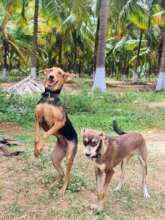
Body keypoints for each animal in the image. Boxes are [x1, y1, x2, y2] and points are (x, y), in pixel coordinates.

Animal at [34, 67, 78, 196]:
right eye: (51, 70)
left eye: (60, 73)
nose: (51, 76)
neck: (49, 96)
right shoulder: (37, 119)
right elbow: (36, 138)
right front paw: (36, 150)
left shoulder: (59, 122)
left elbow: (45, 134)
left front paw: (40, 147)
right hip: (55, 157)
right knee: (62, 174)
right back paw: (52, 185)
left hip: (69, 156)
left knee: (68, 176)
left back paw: (62, 190)